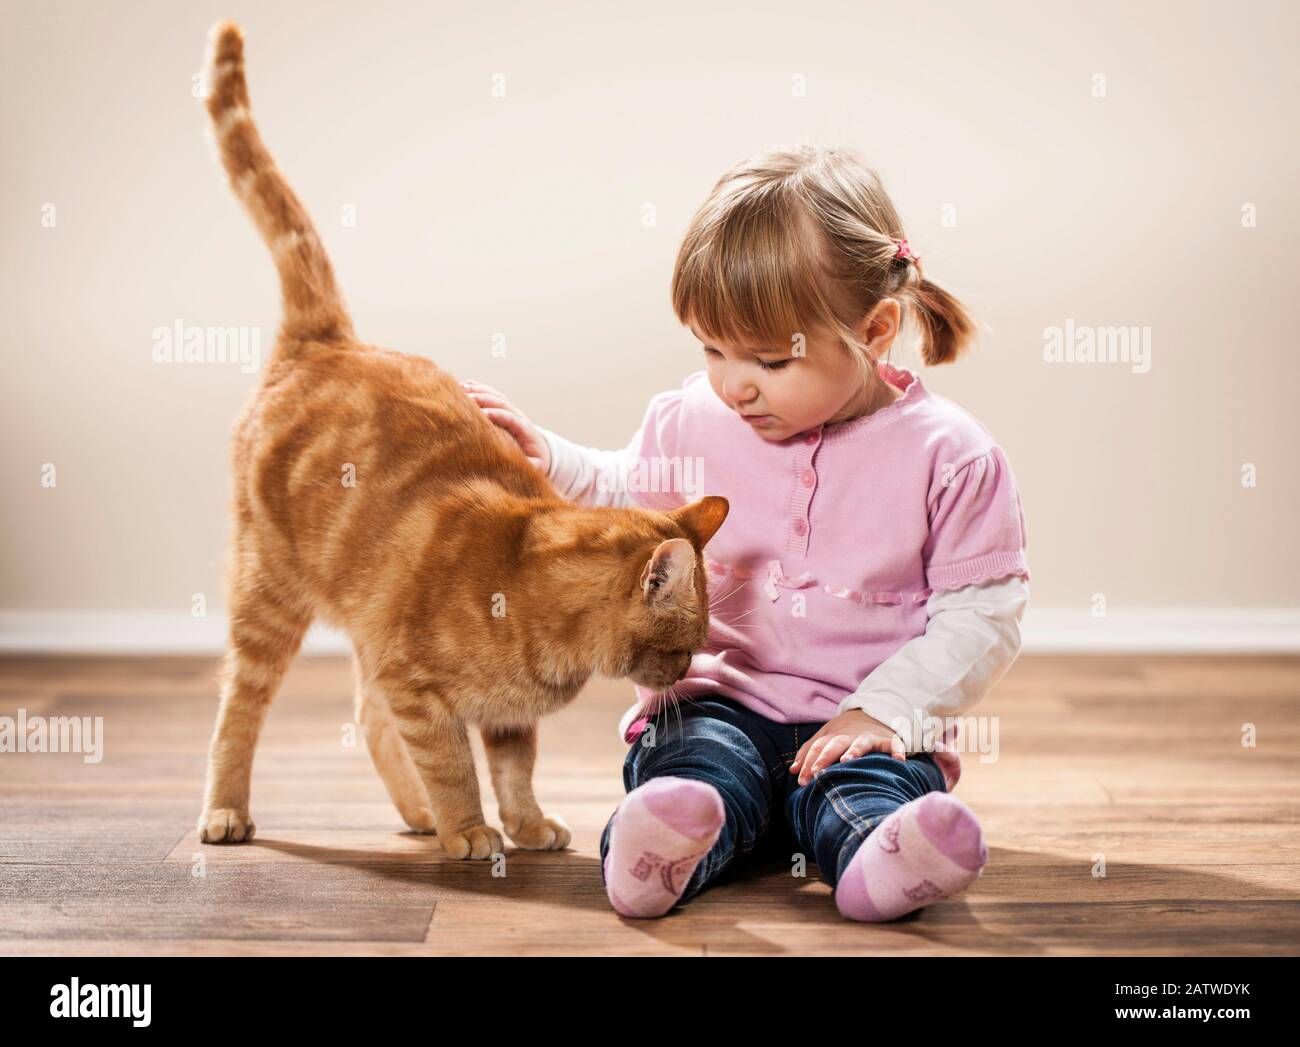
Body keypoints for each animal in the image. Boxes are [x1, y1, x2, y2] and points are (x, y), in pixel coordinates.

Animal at [193, 22, 728, 858]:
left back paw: (415, 814)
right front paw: (471, 829)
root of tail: (328, 341)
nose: (687, 674)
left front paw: (524, 823)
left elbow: (514, 767)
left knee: (365, 715)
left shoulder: (499, 711)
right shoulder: (414, 683)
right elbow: (450, 760)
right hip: (268, 594)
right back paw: (227, 810)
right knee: (238, 707)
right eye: (687, 640)